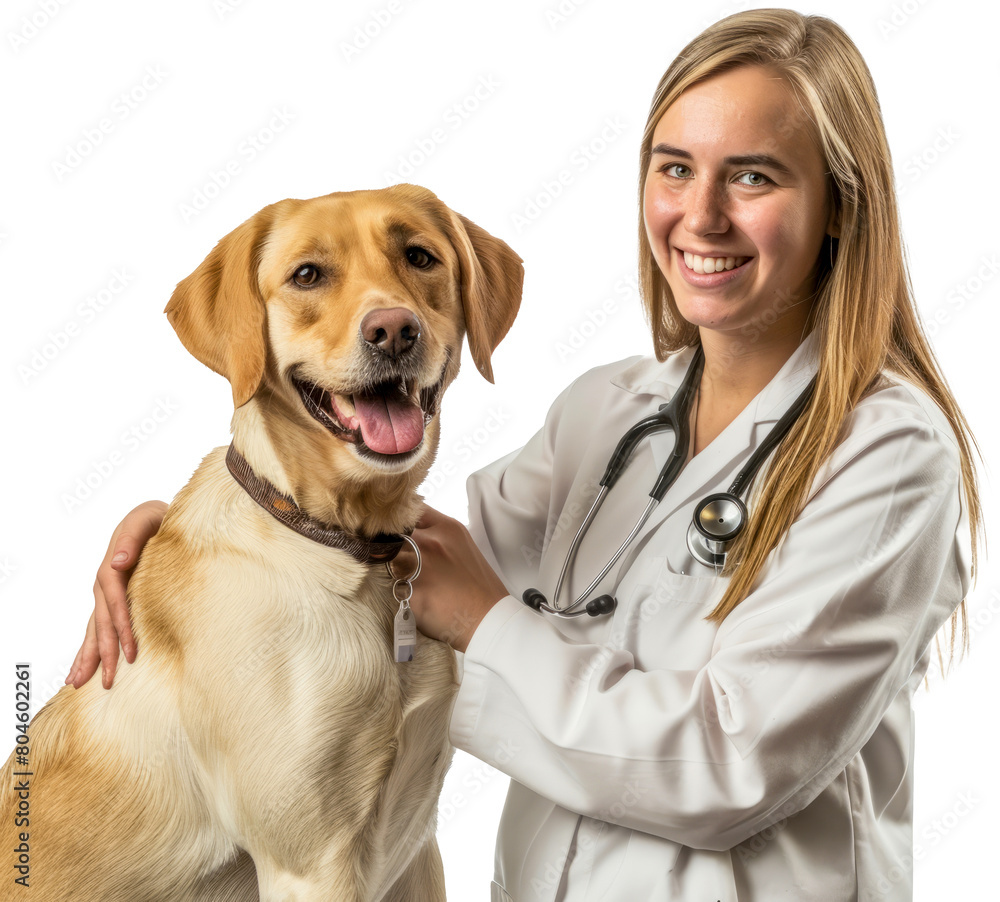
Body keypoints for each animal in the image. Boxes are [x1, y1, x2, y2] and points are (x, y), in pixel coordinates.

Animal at [1, 185, 524, 902]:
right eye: (307, 275)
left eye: (420, 257)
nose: (394, 329)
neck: (342, 539)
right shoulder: (310, 860)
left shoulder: (416, 849)